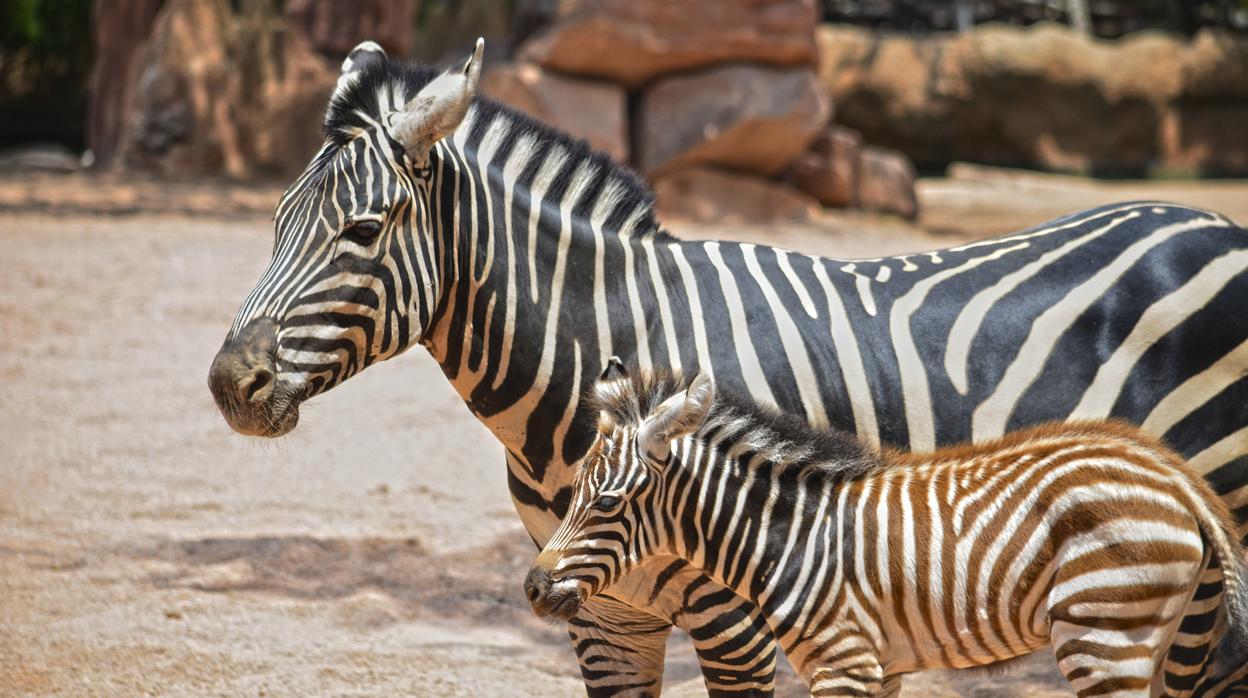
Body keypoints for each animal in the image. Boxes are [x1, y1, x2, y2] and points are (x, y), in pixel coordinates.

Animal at [526, 369, 1248, 694]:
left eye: (608, 502)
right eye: (575, 493)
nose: (533, 588)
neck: (791, 536)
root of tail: (1177, 474)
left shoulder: (842, 659)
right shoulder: (881, 666)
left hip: (1103, 632)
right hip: (1172, 637)